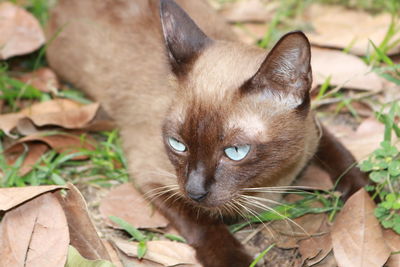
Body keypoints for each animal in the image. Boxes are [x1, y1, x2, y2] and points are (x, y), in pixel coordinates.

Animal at [45, 0, 368, 266]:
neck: (269, 186)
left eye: (235, 152)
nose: (195, 191)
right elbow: (202, 222)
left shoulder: (316, 132)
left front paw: (368, 197)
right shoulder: (151, 175)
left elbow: (344, 159)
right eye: (178, 145)